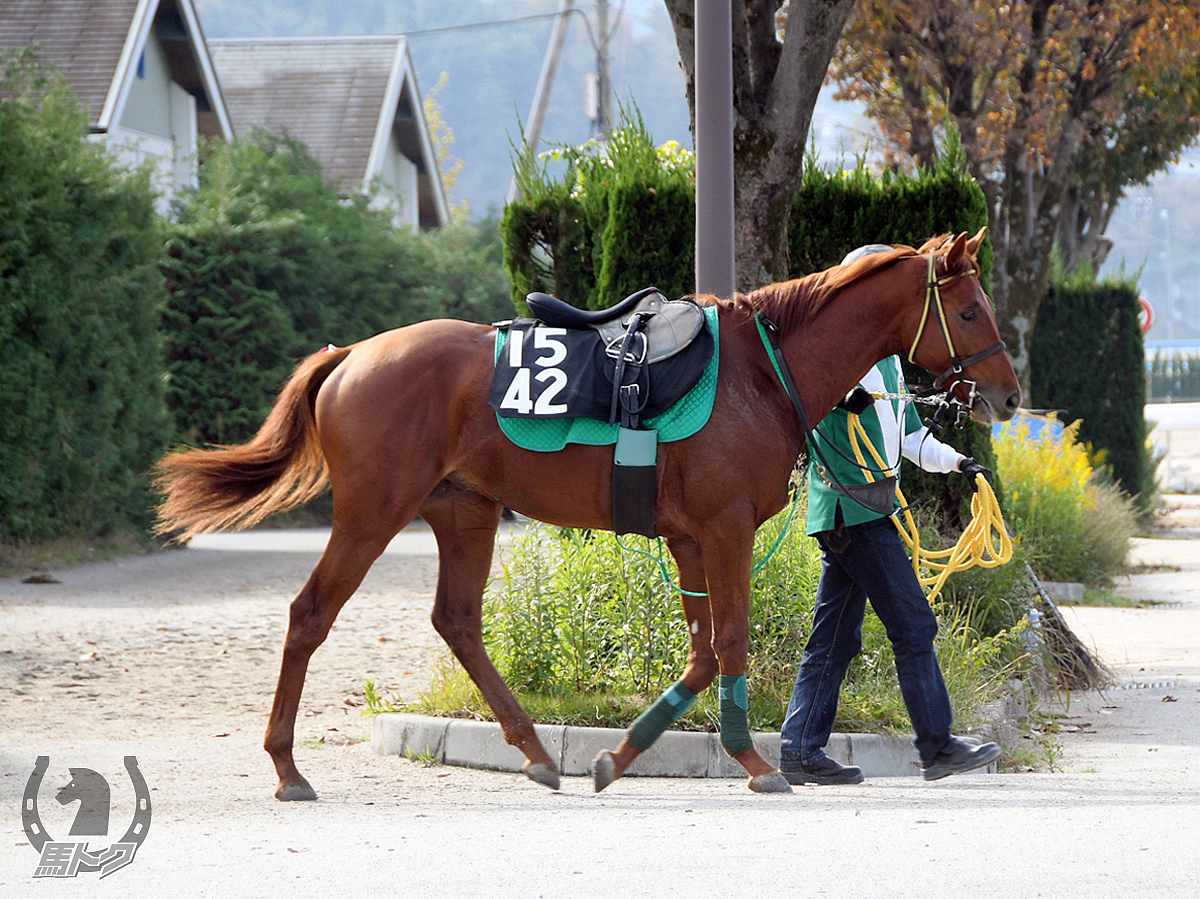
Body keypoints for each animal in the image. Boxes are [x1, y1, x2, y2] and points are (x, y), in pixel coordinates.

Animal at [154, 228, 1022, 796]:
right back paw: (287, 765)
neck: (759, 369)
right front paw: (756, 764)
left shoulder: (689, 537)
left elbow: (703, 652)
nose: (1010, 395)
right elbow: (732, 641)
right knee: (310, 614)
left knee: (458, 622)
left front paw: (623, 755)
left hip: (464, 511)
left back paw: (537, 751)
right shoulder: (724, 526)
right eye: (970, 310)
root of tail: (351, 355)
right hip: (373, 512)